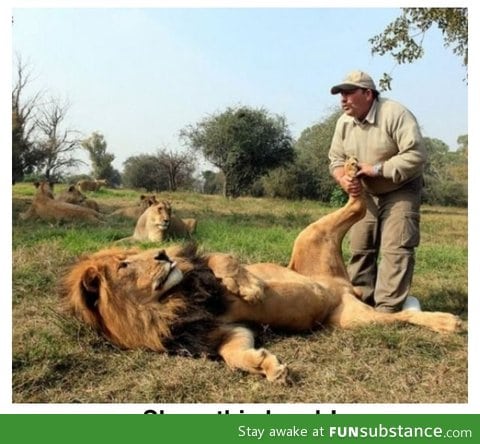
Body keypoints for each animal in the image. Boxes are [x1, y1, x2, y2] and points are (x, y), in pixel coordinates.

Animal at [62, 159, 464, 382]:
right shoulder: (223, 332)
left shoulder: (203, 267)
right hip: (352, 318)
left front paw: (252, 289)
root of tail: (342, 286)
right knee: (398, 316)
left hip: (310, 236)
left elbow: (223, 261)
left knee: (357, 204)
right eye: (125, 265)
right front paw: (267, 366)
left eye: (134, 254)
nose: (162, 254)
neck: (168, 304)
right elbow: (234, 353)